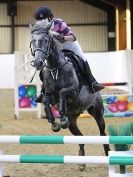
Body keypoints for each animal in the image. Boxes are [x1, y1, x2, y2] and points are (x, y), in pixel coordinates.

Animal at [30, 20, 110, 170]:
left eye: (45, 40)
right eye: (32, 41)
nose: (37, 63)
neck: (55, 67)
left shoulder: (73, 91)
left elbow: (62, 92)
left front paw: (60, 120)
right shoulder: (49, 95)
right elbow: (45, 101)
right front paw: (55, 124)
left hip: (97, 111)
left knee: (102, 133)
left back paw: (108, 155)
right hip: (73, 120)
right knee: (80, 137)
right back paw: (82, 163)